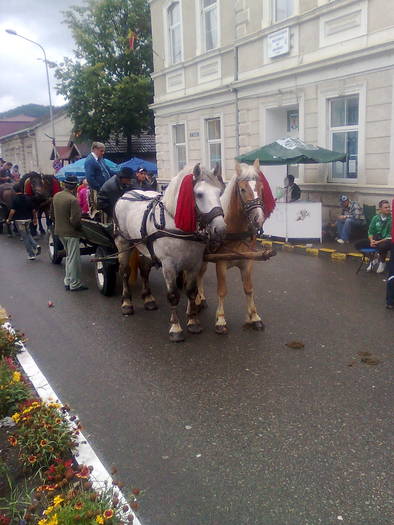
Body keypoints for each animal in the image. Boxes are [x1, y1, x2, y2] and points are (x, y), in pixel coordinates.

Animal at [112, 165, 226, 344]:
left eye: (219, 192)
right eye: (199, 194)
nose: (220, 230)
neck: (176, 224)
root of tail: (127, 194)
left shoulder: (194, 264)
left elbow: (191, 291)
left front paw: (193, 321)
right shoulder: (169, 265)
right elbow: (173, 295)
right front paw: (176, 328)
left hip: (144, 247)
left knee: (144, 270)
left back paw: (148, 299)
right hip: (123, 243)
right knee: (124, 272)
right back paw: (126, 303)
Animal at [195, 158, 276, 334]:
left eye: (261, 188)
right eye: (243, 189)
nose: (258, 219)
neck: (235, 231)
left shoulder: (247, 262)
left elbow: (249, 288)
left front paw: (254, 317)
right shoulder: (221, 263)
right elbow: (222, 291)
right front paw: (220, 319)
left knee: (200, 275)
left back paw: (201, 298)